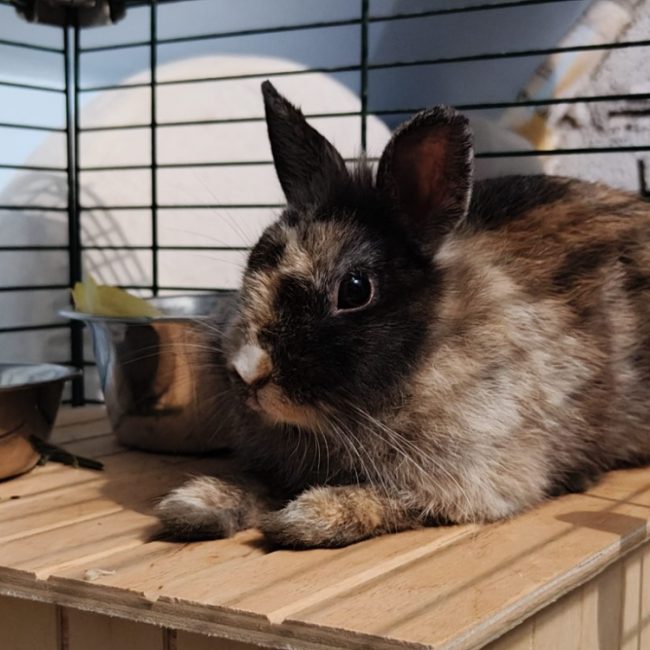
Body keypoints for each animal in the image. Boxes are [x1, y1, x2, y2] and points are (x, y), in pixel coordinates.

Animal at [156, 80, 650, 549]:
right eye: (253, 261)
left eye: (355, 290)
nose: (247, 371)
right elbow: (256, 484)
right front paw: (194, 505)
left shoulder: (476, 480)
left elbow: (396, 499)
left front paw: (309, 517)